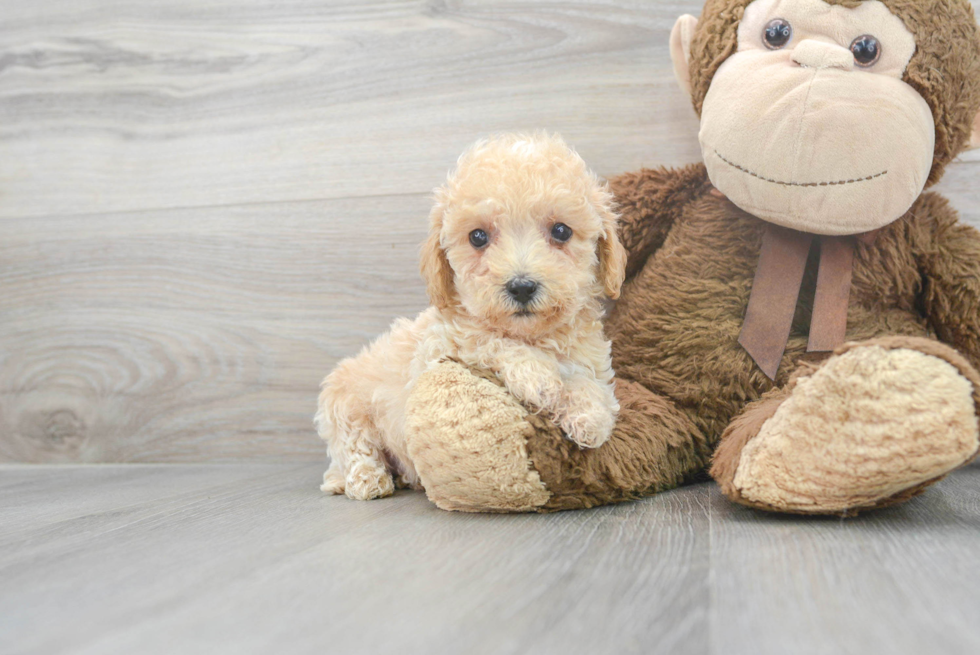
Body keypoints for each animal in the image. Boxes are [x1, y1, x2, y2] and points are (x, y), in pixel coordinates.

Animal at [314, 133, 628, 502]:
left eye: (562, 231)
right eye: (477, 236)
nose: (522, 287)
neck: (534, 335)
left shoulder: (587, 356)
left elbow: (588, 381)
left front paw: (591, 416)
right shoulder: (442, 346)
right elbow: (488, 340)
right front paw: (537, 376)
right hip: (344, 403)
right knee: (353, 448)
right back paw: (367, 480)